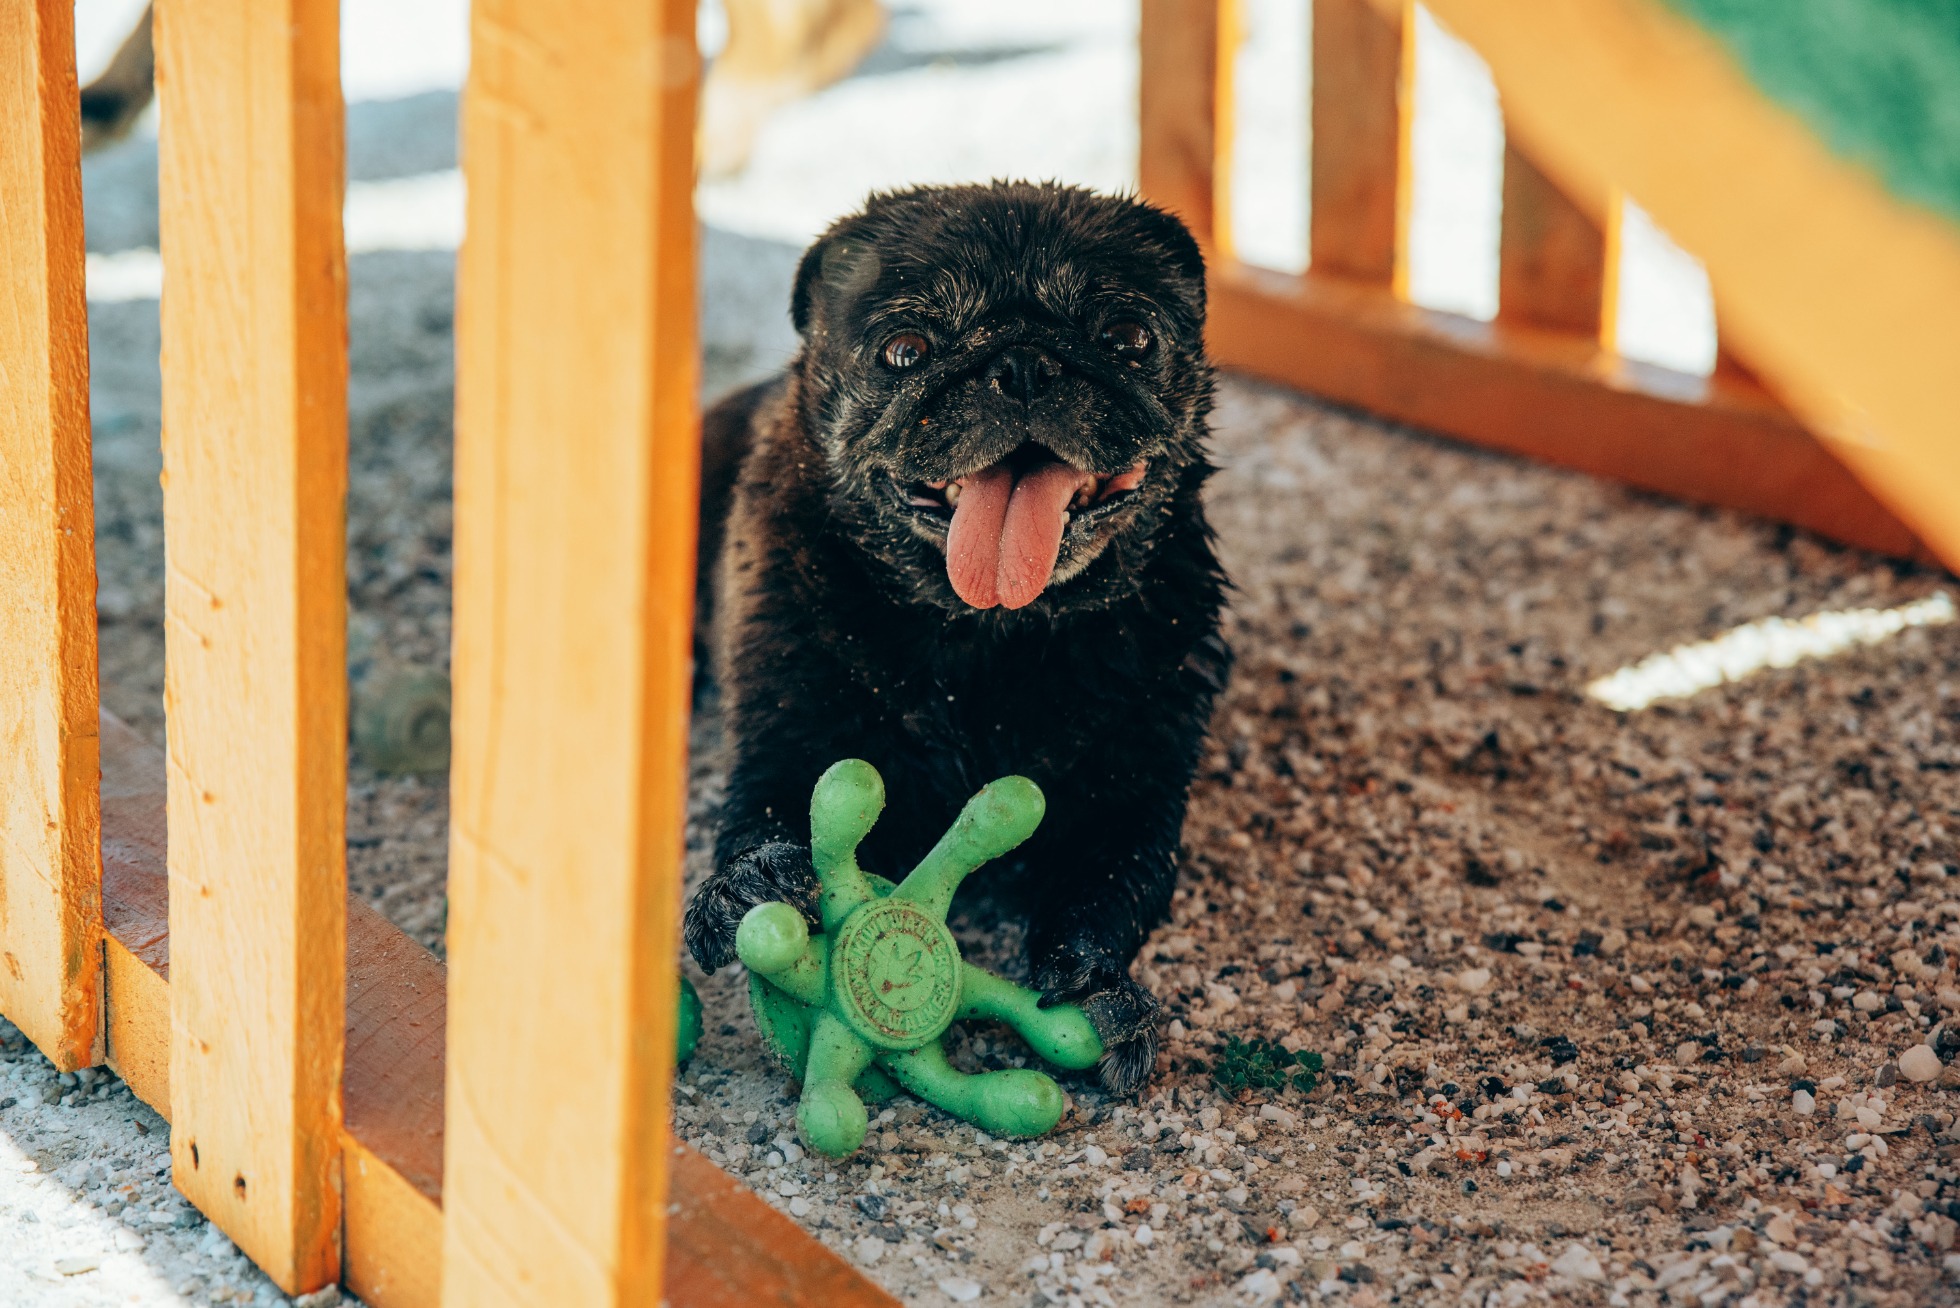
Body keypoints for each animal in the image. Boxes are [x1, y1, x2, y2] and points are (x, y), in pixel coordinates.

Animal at [686, 176, 1223, 1098]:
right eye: (903, 350)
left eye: (1128, 338)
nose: (1024, 365)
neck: (987, 635)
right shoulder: (788, 738)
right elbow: (762, 815)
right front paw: (751, 884)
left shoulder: (1132, 805)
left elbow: (1108, 893)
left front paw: (1098, 985)